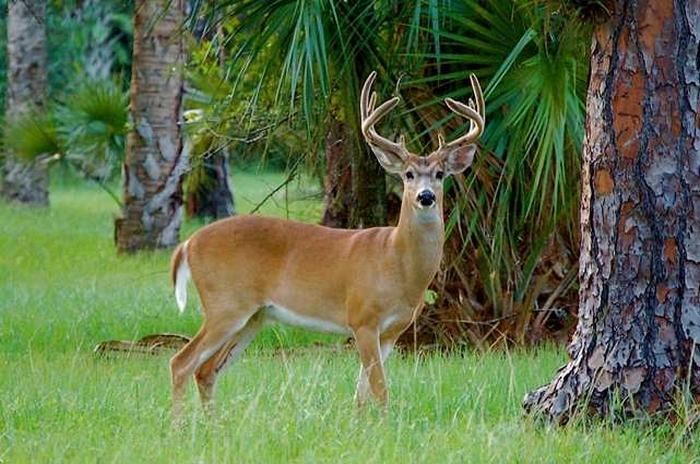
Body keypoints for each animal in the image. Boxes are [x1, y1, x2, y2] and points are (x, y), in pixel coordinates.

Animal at [169, 70, 484, 418]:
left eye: (440, 174)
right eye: (408, 174)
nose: (425, 197)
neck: (397, 262)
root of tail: (188, 243)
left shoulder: (392, 331)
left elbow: (362, 392)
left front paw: (362, 425)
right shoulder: (362, 318)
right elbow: (380, 390)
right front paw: (384, 424)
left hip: (253, 317)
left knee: (206, 369)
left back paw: (213, 425)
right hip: (225, 302)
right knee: (181, 362)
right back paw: (179, 425)